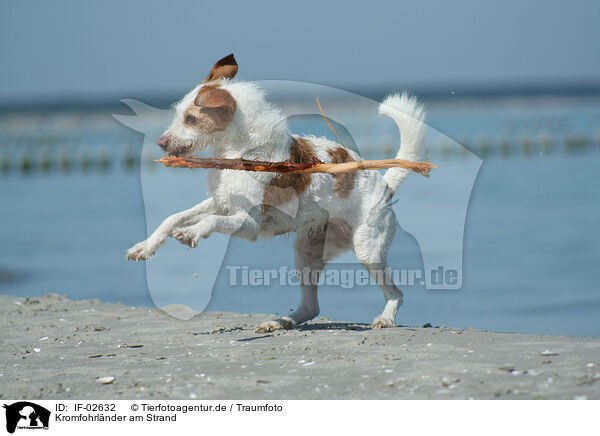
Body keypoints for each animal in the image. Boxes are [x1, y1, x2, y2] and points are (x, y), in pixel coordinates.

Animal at [126, 53, 426, 334]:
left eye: (191, 119)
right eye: (178, 113)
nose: (161, 142)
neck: (242, 151)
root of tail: (385, 184)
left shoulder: (248, 224)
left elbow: (208, 221)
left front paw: (192, 232)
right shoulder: (221, 202)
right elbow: (174, 217)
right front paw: (145, 246)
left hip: (367, 249)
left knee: (396, 293)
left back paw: (385, 318)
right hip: (306, 252)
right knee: (311, 306)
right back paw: (280, 322)